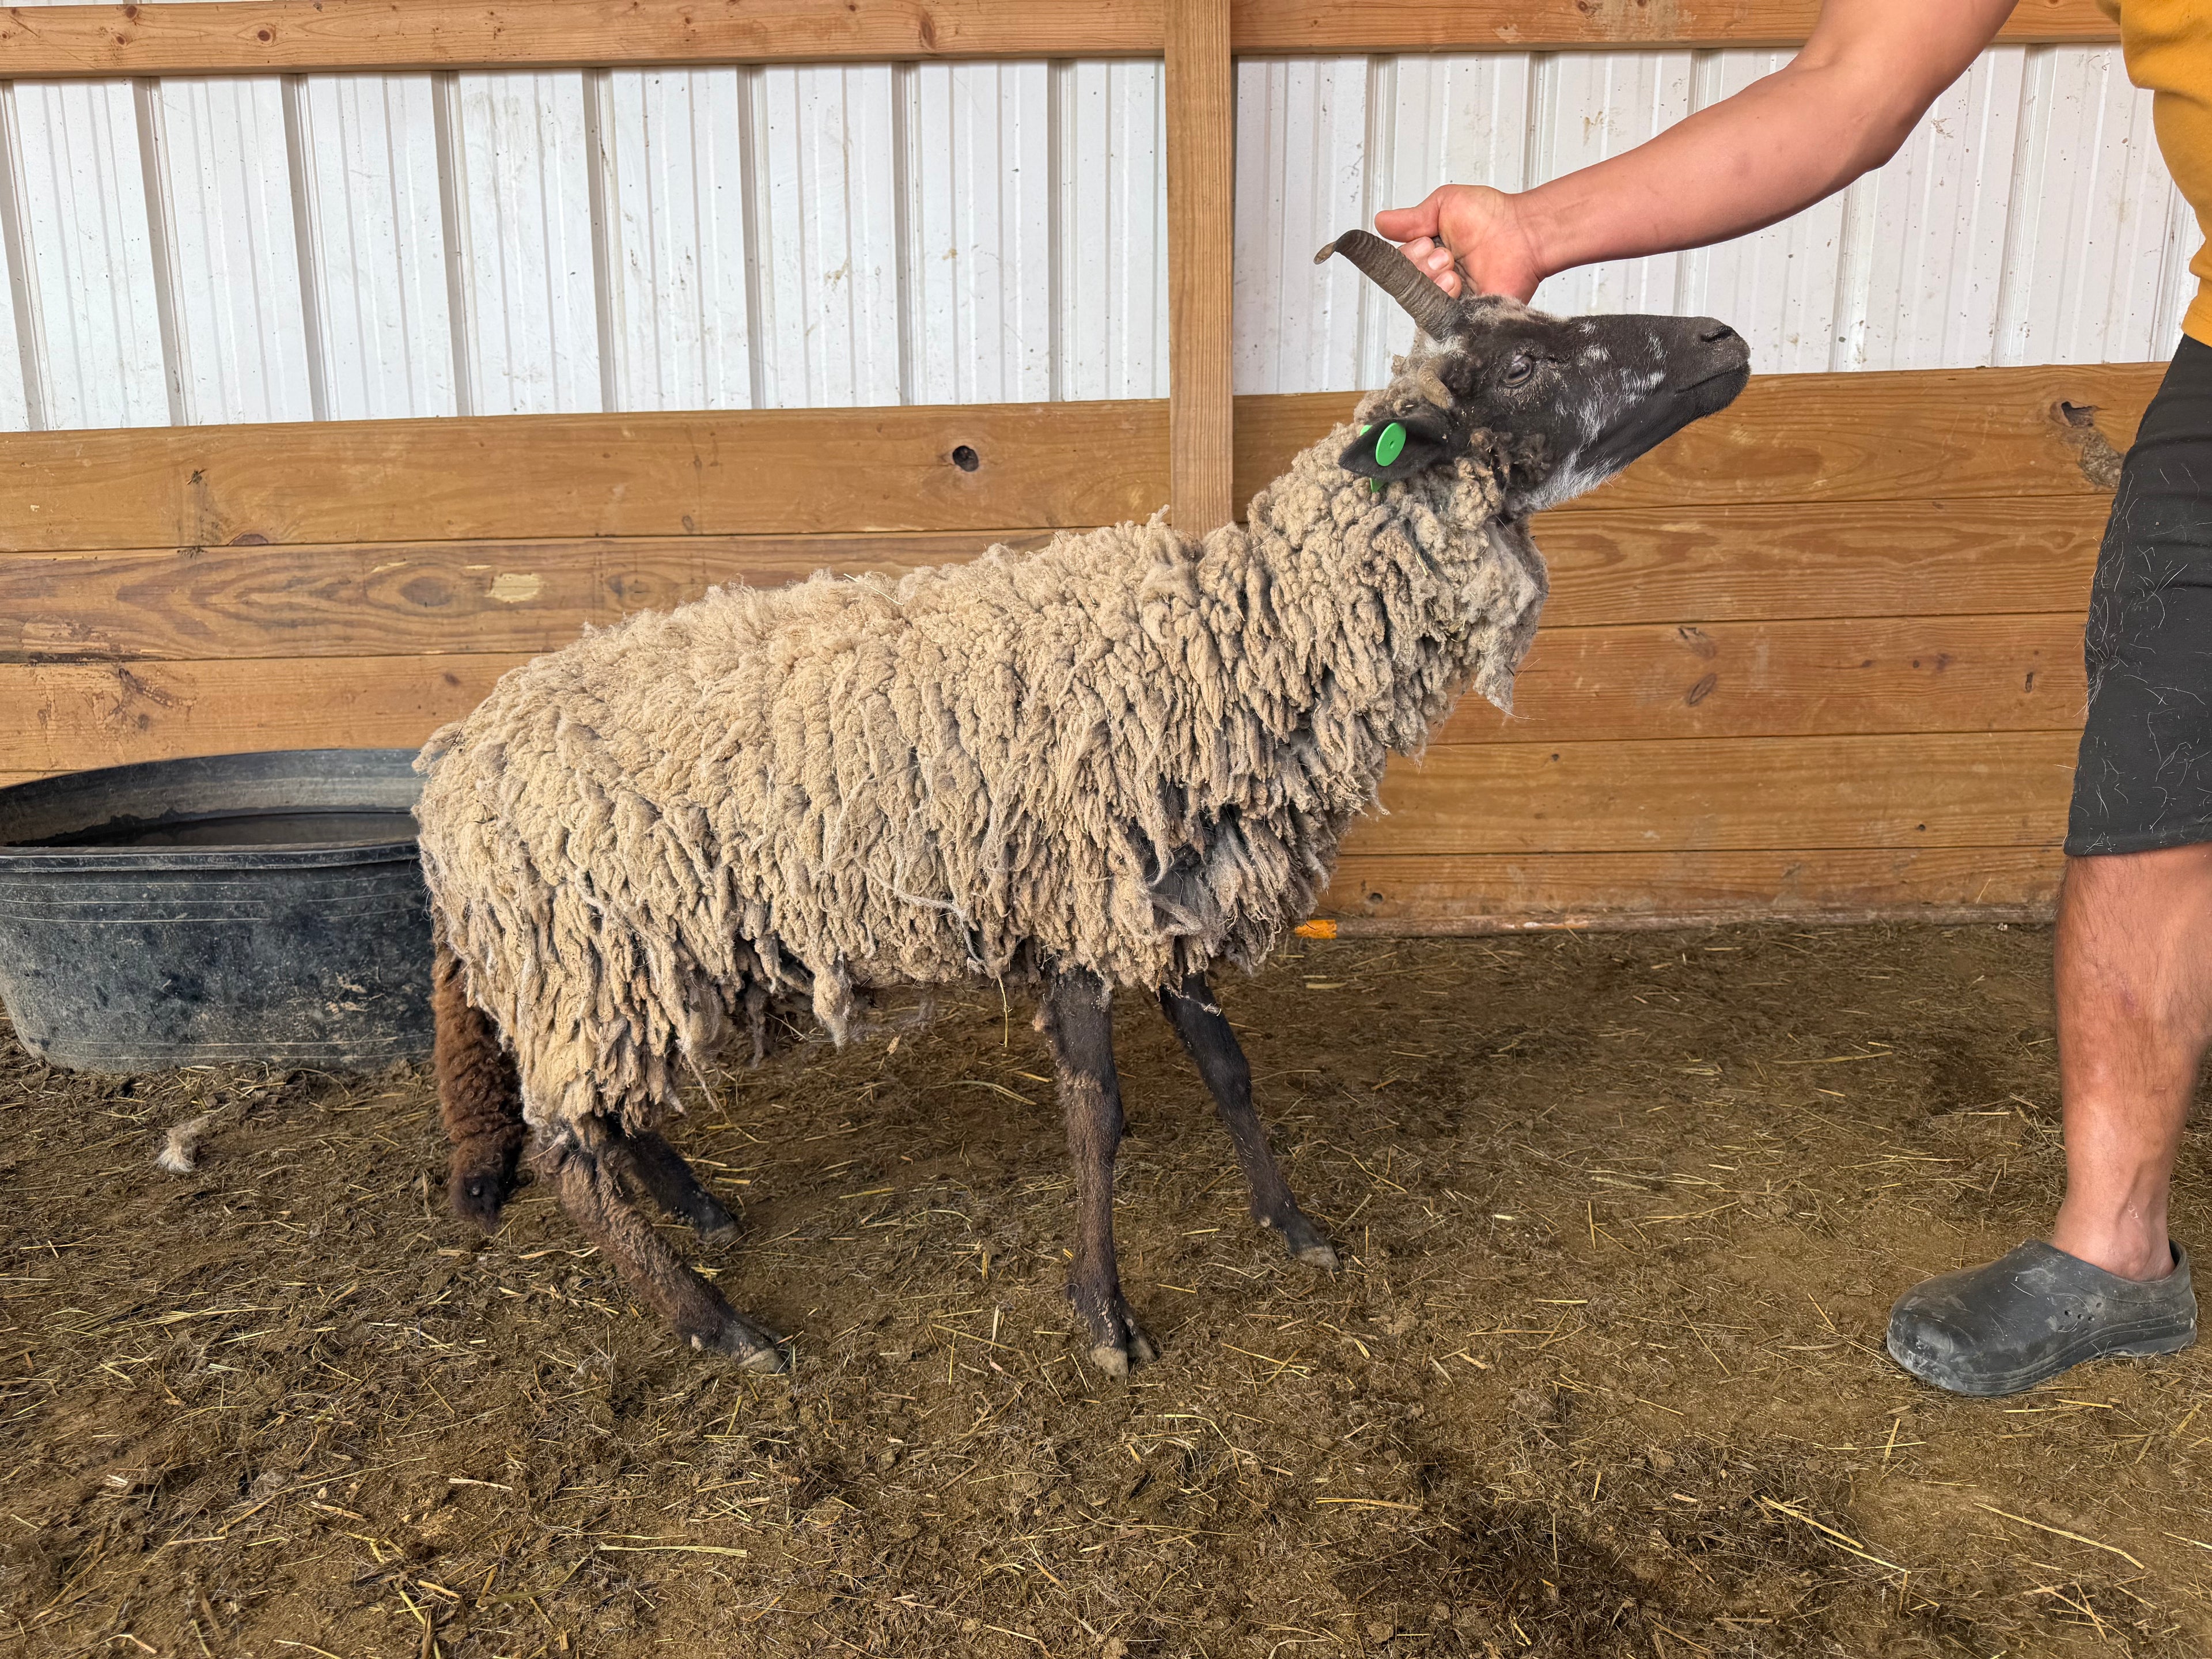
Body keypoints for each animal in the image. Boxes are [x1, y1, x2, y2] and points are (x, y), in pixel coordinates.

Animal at [413, 232, 1751, 1375]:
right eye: (1522, 363)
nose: (1726, 339)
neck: (1231, 645)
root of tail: (454, 766)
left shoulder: (1177, 890)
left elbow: (1230, 1072)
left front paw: (1294, 1225)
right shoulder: (1082, 915)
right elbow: (1095, 1118)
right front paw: (1106, 1313)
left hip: (636, 959)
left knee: (607, 1114)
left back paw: (702, 1209)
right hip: (584, 955)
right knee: (568, 1148)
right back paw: (720, 1324)